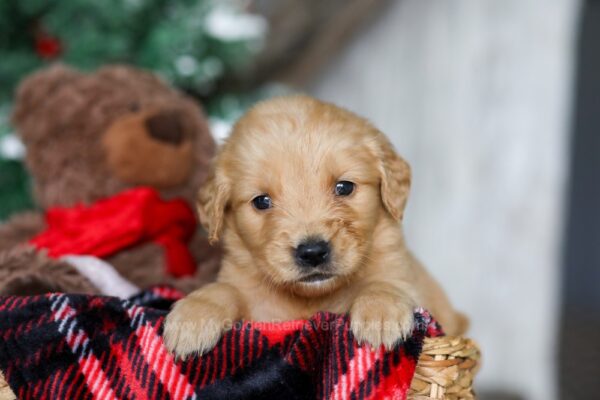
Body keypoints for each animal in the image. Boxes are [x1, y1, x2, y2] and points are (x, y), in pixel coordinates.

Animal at [164, 95, 468, 358]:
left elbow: (385, 282)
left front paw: (380, 311)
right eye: (261, 201)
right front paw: (193, 315)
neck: (311, 299)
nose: (312, 252)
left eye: (344, 187)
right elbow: (224, 289)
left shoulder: (407, 279)